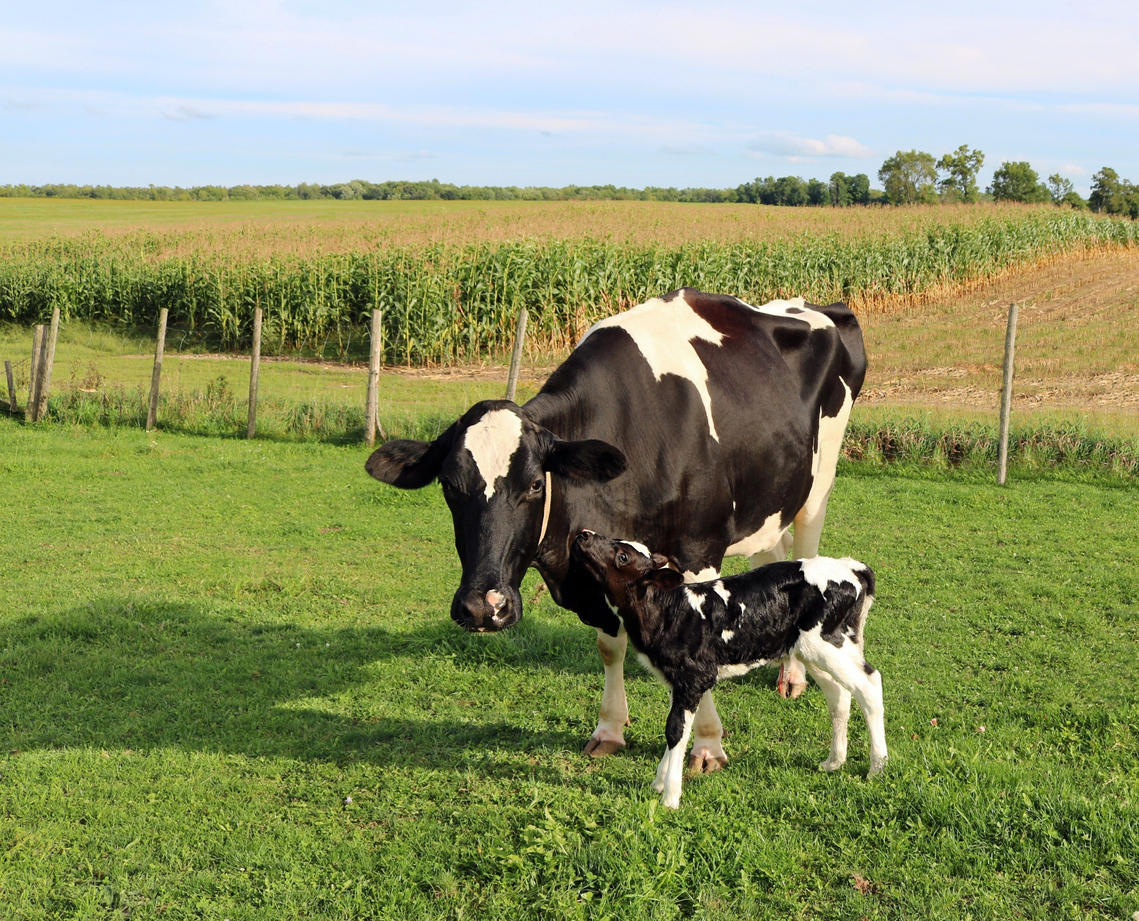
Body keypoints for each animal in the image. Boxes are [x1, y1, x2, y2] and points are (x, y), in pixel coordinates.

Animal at [364, 285, 861, 769]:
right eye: (449, 485)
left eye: (533, 485)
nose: (484, 607)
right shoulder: (595, 560)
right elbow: (609, 646)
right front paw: (609, 730)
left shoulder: (699, 551)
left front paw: (707, 745)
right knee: (775, 555)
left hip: (818, 484)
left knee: (805, 552)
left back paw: (794, 676)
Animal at [569, 532, 888, 806]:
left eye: (622, 556)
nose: (584, 534)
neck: (669, 610)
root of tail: (852, 567)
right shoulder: (677, 681)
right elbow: (675, 728)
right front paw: (659, 782)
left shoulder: (694, 678)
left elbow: (675, 731)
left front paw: (670, 797)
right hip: (811, 648)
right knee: (840, 694)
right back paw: (833, 762)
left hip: (828, 642)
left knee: (869, 685)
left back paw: (877, 767)